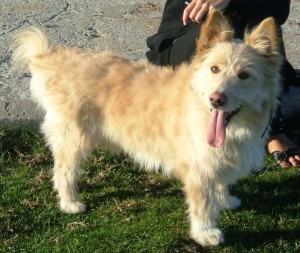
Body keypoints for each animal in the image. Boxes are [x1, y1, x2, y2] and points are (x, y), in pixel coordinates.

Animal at [11, 10, 282, 246]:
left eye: (244, 75)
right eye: (214, 69)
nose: (216, 99)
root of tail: (54, 59)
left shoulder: (216, 160)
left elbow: (220, 183)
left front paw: (225, 200)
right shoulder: (199, 168)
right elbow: (202, 203)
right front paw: (205, 232)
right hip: (73, 139)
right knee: (63, 170)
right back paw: (69, 203)